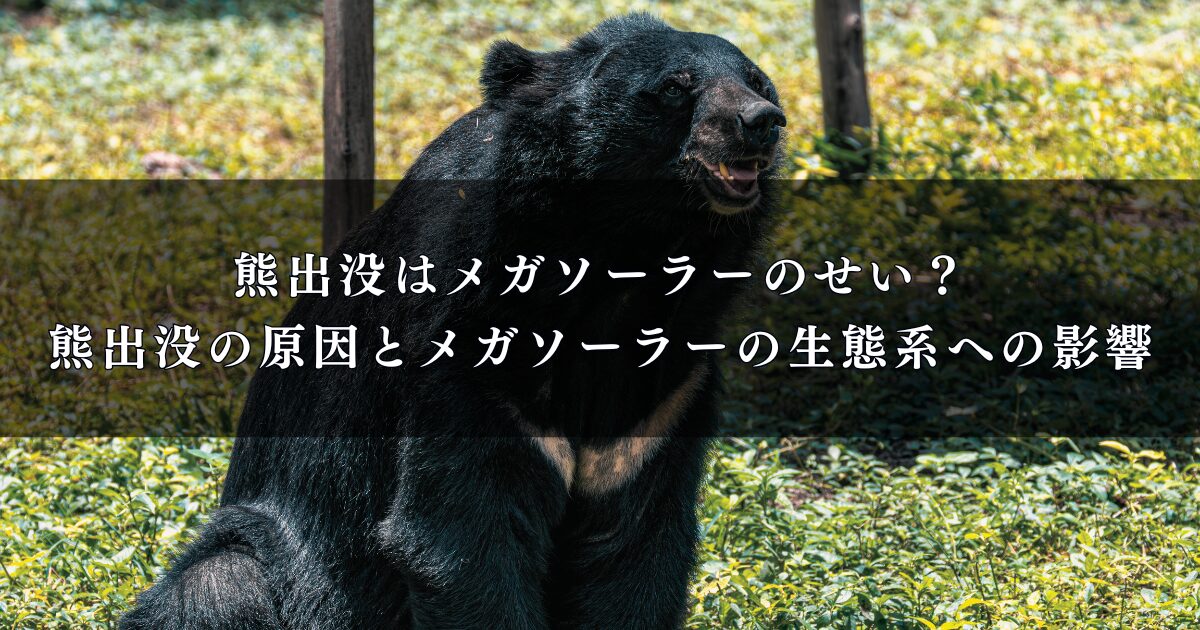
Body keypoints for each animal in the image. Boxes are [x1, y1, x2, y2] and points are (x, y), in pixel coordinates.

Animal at [122, 13, 786, 629]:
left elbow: (632, 549)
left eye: (757, 81)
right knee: (220, 583)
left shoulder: (660, 400)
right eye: (675, 88)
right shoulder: (467, 352)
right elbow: (463, 535)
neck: (620, 263)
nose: (762, 121)